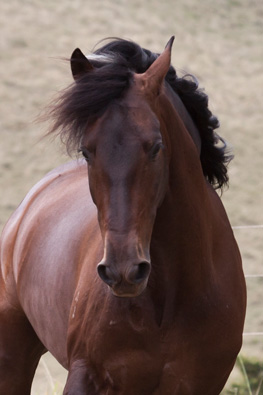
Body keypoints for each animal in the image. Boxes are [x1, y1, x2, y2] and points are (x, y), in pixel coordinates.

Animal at [0, 38, 248, 395]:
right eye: (87, 151)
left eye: (156, 147)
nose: (123, 271)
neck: (170, 298)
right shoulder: (87, 375)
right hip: (13, 353)